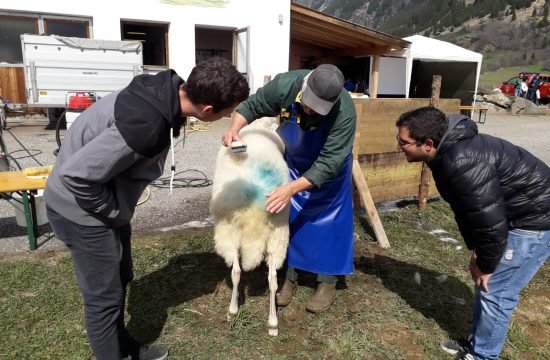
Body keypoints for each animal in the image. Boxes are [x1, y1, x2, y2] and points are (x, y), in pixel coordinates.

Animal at [211, 118, 292, 338]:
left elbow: (236, 272)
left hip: (229, 232)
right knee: (272, 279)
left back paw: (232, 311)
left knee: (237, 272)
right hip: (278, 236)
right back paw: (273, 323)